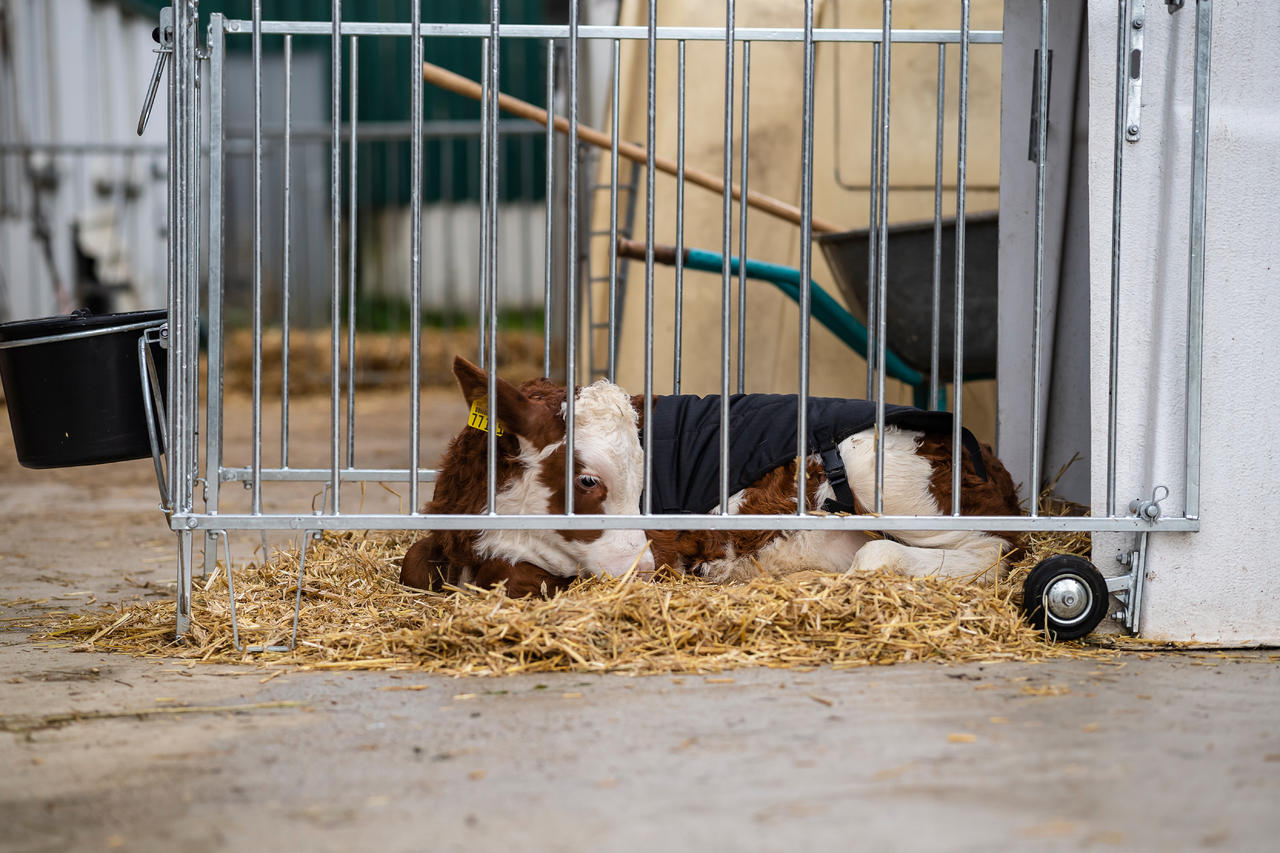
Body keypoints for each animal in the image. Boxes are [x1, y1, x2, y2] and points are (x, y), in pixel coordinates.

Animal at [399, 356, 1018, 594]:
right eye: (588, 481)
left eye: (643, 484)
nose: (643, 565)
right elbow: (413, 563)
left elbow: (524, 581)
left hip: (878, 471)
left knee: (983, 551)